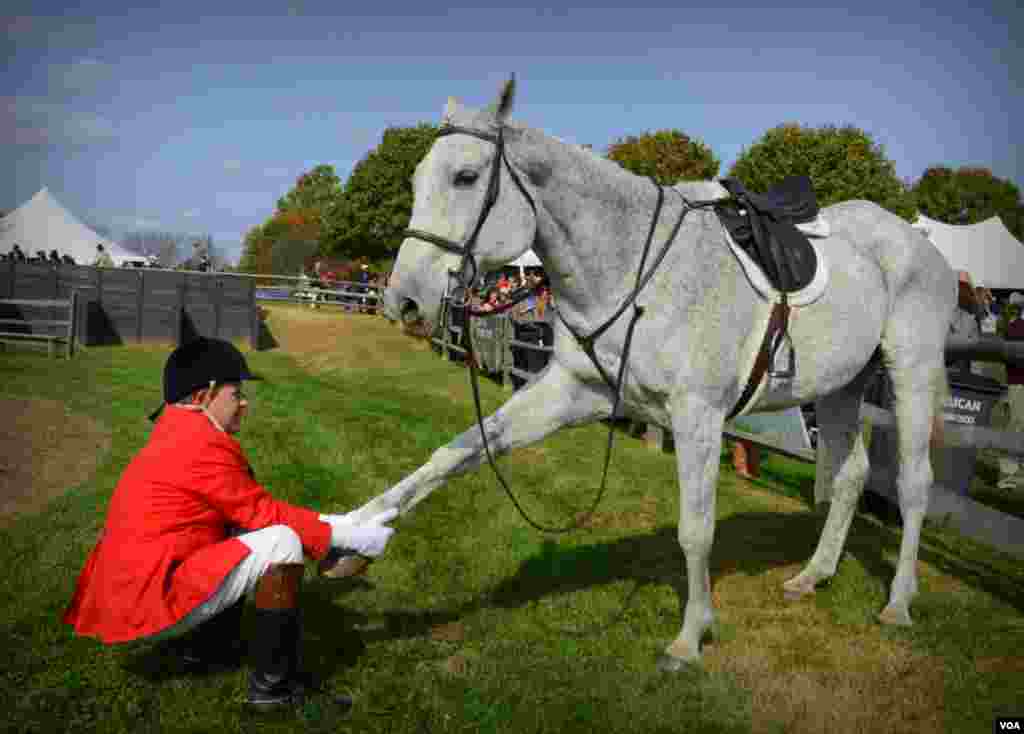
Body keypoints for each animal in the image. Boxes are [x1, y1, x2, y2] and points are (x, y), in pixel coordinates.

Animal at [348, 77, 954, 667]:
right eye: (416, 178)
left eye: (466, 177)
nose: (402, 301)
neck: (632, 270)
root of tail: (921, 245)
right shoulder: (572, 393)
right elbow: (456, 452)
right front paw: (356, 530)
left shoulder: (697, 418)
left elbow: (695, 531)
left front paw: (690, 637)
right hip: (838, 387)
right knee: (851, 474)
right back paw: (814, 575)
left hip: (912, 370)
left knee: (913, 483)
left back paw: (899, 601)